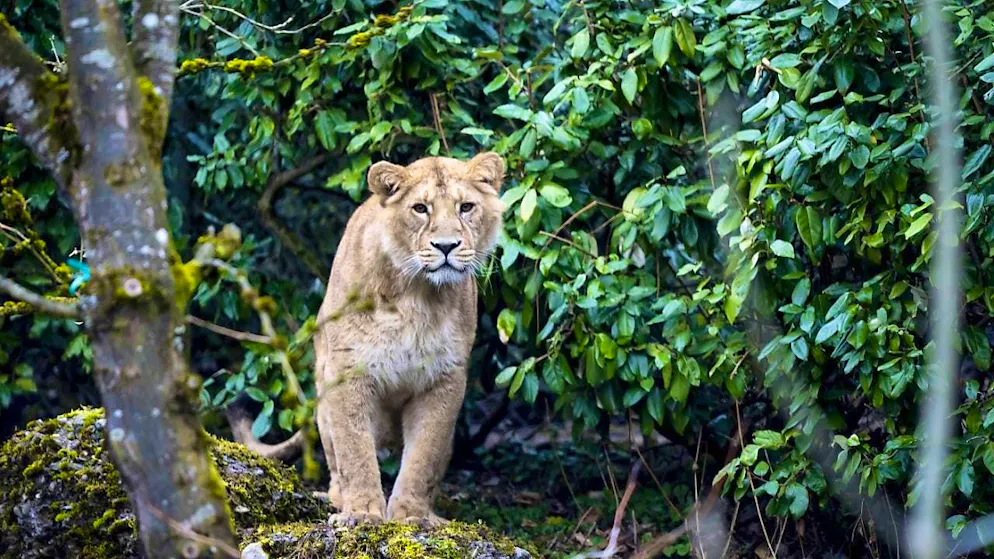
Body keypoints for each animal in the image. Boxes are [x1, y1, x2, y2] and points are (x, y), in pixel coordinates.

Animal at [308, 152, 506, 525]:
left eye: (466, 207)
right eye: (420, 208)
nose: (447, 246)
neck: (418, 295)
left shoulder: (445, 376)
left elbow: (423, 455)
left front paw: (411, 516)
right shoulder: (347, 368)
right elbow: (355, 450)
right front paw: (362, 512)